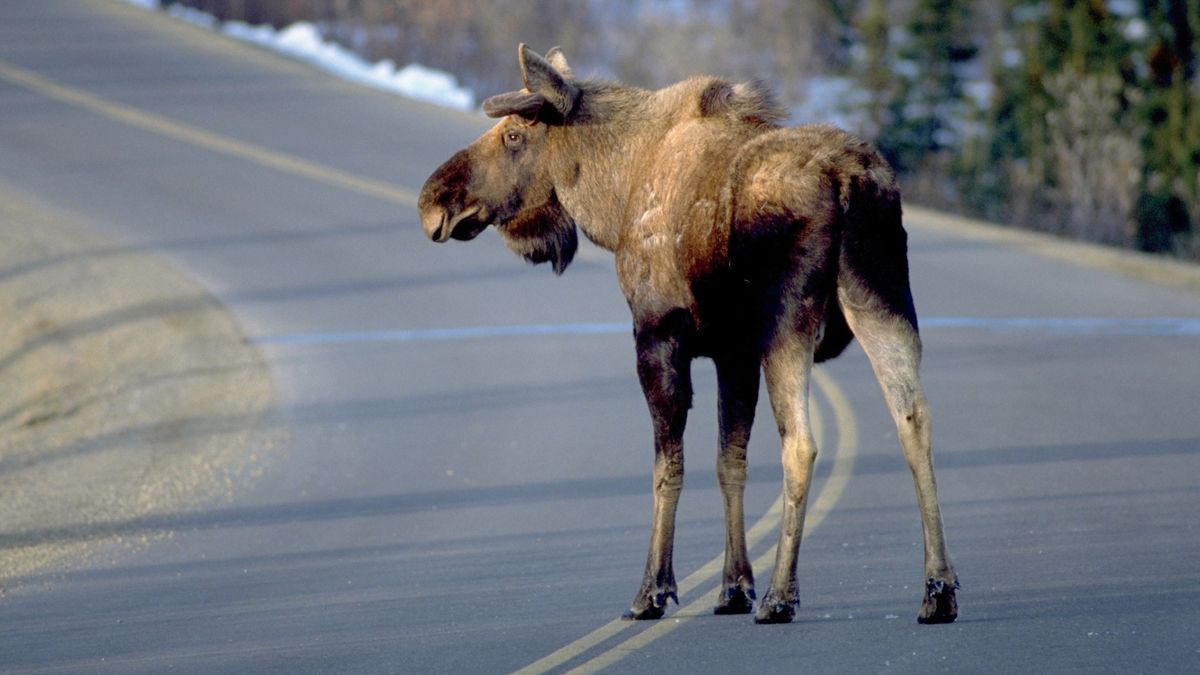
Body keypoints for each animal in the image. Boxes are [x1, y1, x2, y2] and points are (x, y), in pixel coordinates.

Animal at [417, 44, 960, 624]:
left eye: (515, 135)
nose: (433, 200)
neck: (613, 196)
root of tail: (847, 181)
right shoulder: (733, 351)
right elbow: (730, 462)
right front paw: (733, 587)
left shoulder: (658, 335)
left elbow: (667, 466)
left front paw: (654, 591)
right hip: (884, 300)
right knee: (914, 421)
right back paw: (938, 590)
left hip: (788, 321)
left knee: (802, 444)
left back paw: (781, 595)